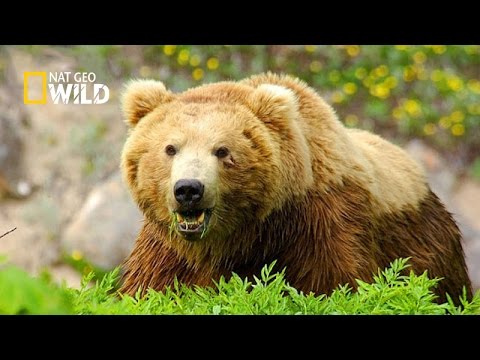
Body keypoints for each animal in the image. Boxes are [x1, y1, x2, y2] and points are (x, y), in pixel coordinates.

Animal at [118, 71, 470, 302]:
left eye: (222, 151)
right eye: (170, 148)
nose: (189, 189)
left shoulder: (323, 227)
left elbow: (336, 284)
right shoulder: (166, 248)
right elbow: (150, 287)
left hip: (427, 246)